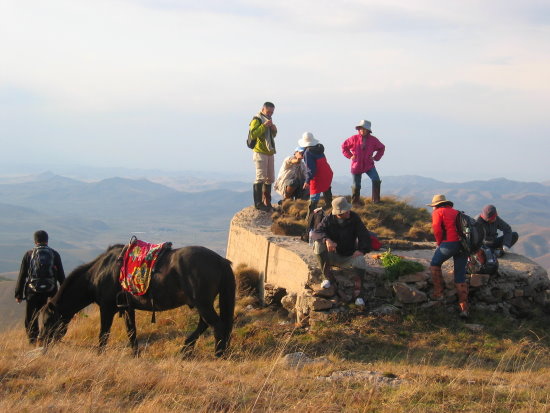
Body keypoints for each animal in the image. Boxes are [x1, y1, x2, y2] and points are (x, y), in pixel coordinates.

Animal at [37, 243, 236, 356]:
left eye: (47, 322)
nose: (41, 344)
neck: (101, 272)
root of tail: (220, 261)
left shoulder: (107, 308)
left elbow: (104, 333)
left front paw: (100, 354)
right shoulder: (127, 307)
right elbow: (131, 331)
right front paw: (135, 354)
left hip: (202, 303)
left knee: (216, 325)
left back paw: (218, 354)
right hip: (202, 304)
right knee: (205, 324)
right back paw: (186, 349)